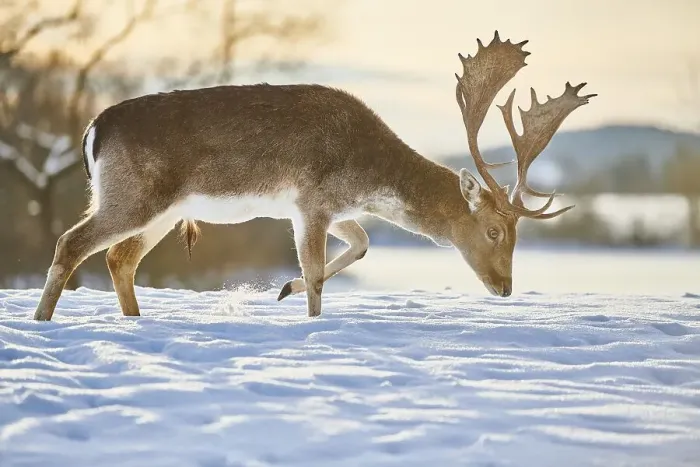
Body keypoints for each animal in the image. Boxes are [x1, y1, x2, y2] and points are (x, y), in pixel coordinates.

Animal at [32, 31, 596, 321]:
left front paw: (284, 288)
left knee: (119, 259)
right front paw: (308, 315)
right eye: (495, 230)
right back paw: (44, 322)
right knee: (70, 241)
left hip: (161, 209)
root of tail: (92, 129)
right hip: (133, 195)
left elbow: (363, 243)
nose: (505, 287)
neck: (367, 173)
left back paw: (134, 322)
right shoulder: (312, 200)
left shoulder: (328, 207)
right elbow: (320, 275)